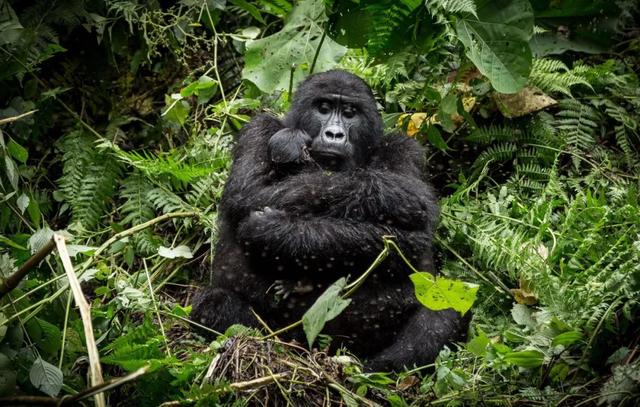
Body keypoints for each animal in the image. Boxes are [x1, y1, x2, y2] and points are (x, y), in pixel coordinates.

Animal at [192, 71, 468, 372]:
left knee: (442, 311)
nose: (334, 134)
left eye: (349, 113)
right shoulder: (257, 129)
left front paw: (276, 230)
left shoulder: (404, 147)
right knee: (214, 304)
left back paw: (375, 369)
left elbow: (411, 227)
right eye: (323, 108)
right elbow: (248, 193)